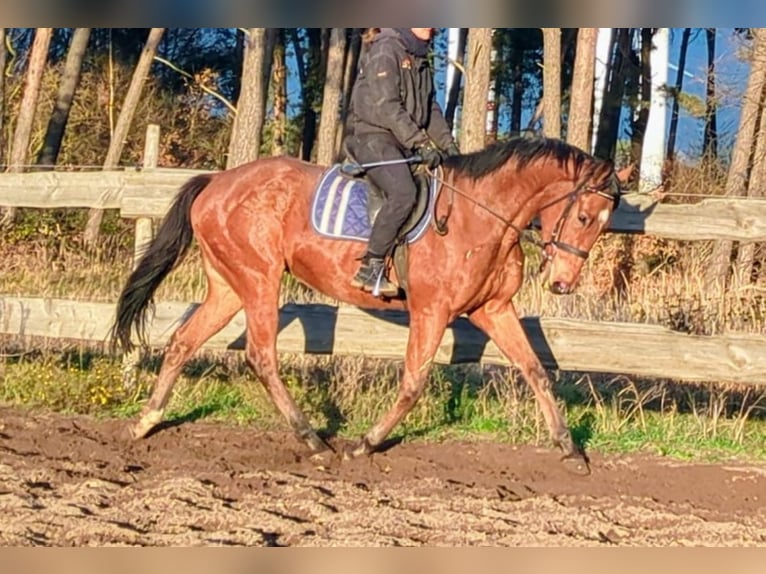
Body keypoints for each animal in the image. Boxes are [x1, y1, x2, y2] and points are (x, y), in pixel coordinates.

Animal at [115, 138, 632, 468]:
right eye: (584, 216)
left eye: (605, 222)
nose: (563, 283)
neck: (480, 217)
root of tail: (217, 182)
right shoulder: (431, 311)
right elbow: (413, 382)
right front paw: (366, 444)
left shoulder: (494, 309)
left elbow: (536, 372)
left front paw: (570, 450)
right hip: (259, 280)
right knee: (261, 356)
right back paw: (313, 441)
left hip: (228, 285)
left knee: (183, 341)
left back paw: (146, 420)